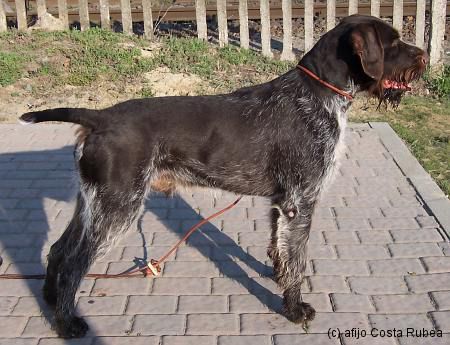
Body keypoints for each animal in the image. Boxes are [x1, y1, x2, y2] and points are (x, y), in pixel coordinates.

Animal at [18, 15, 426, 336]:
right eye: (392, 42)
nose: (423, 56)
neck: (319, 94)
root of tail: (99, 117)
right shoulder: (301, 200)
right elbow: (298, 259)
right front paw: (295, 309)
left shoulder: (282, 202)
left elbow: (280, 249)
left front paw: (277, 280)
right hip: (118, 208)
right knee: (74, 262)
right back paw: (67, 323)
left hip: (94, 203)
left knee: (59, 250)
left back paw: (50, 301)